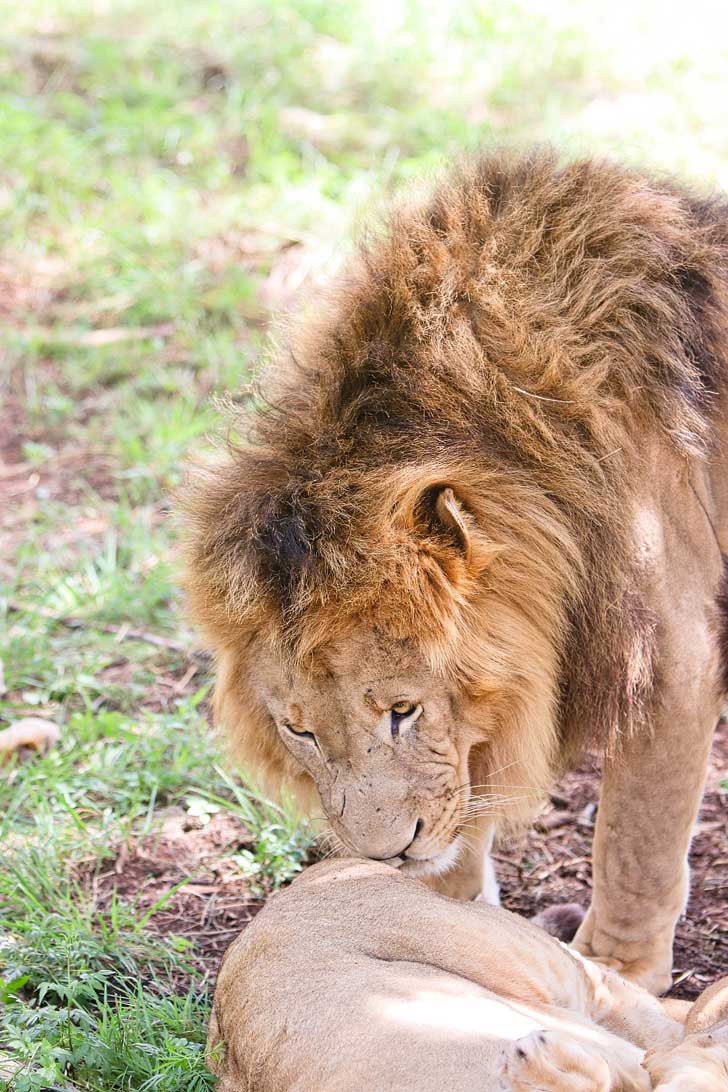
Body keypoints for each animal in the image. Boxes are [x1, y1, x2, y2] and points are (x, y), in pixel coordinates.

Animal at [182, 151, 728, 1000]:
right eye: (299, 730)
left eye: (403, 710)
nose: (385, 852)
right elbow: (458, 802)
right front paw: (436, 910)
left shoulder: (670, 657)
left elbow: (634, 837)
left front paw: (616, 971)